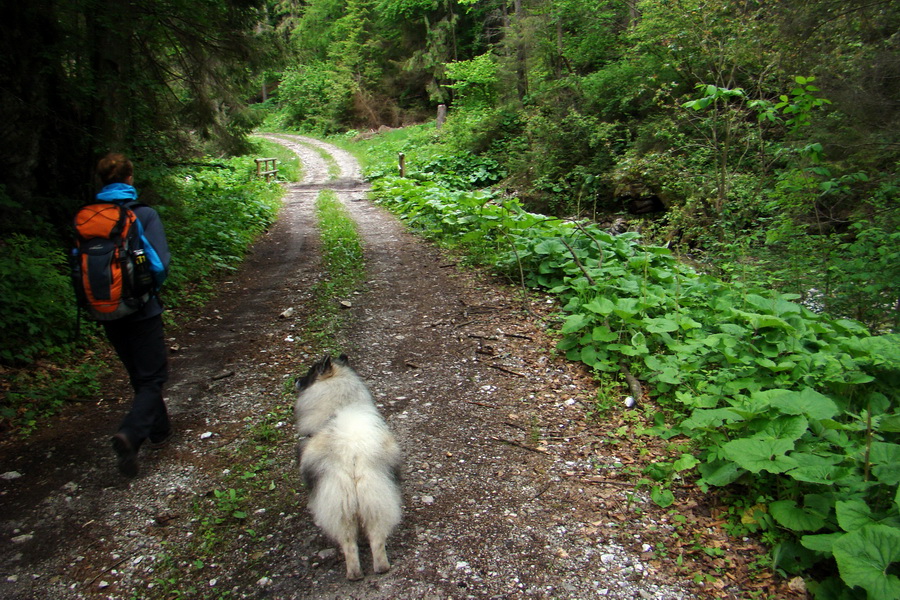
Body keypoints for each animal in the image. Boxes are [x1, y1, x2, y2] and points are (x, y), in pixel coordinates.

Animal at [296, 354, 400, 580]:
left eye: (310, 372)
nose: (296, 380)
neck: (342, 405)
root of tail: (352, 454)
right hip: (375, 497)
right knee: (376, 540)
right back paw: (379, 568)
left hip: (340, 504)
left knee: (348, 543)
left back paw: (353, 573)